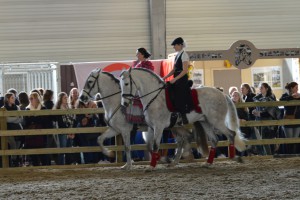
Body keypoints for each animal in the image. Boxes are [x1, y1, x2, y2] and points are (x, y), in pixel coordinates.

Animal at [78, 69, 207, 169]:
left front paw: (129, 165)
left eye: (90, 82)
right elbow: (100, 139)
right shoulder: (115, 129)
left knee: (188, 138)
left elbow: (127, 147)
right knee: (183, 140)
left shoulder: (125, 130)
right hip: (175, 126)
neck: (117, 103)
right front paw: (109, 153)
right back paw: (175, 161)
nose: (82, 98)